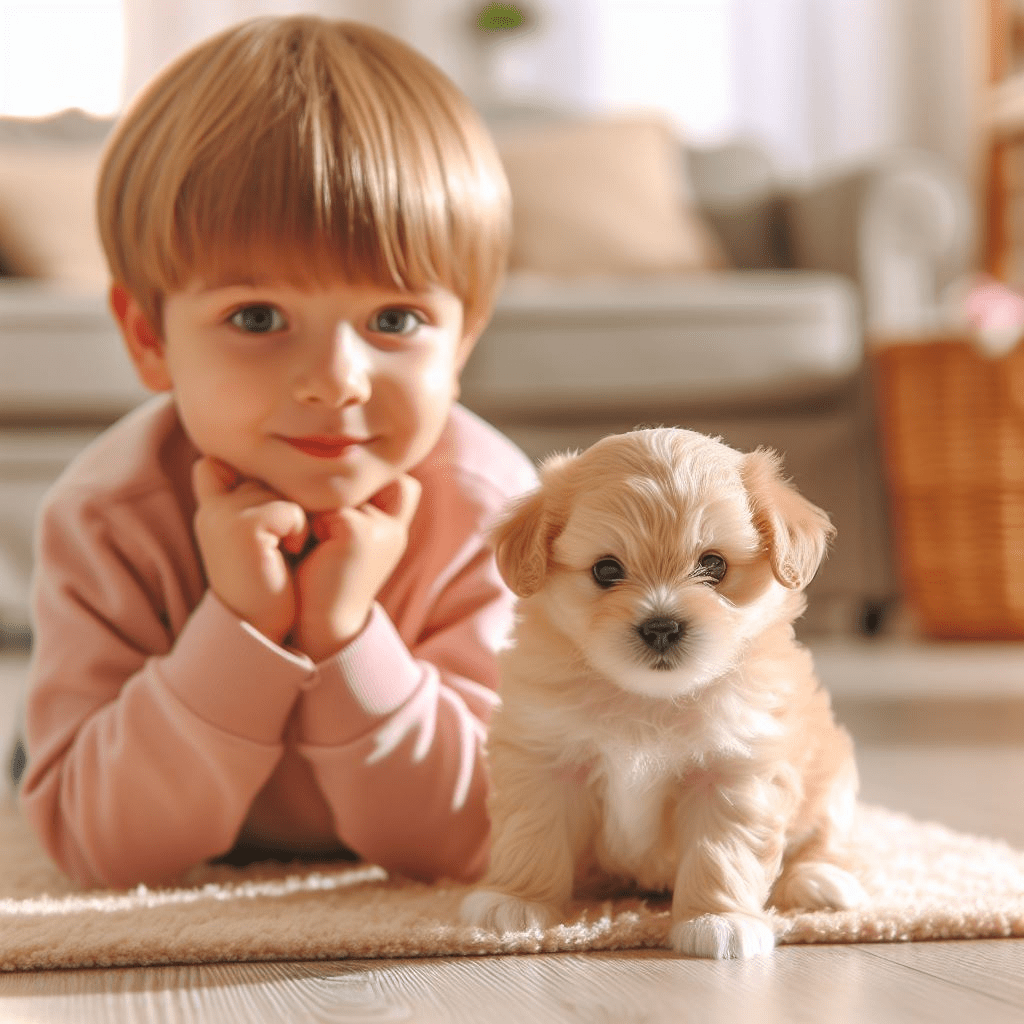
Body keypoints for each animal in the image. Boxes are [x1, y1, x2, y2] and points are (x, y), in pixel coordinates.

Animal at [460, 425, 868, 958]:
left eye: (713, 565)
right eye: (606, 570)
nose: (660, 626)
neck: (649, 697)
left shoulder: (735, 766)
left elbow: (722, 850)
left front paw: (718, 919)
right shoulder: (543, 754)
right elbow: (532, 831)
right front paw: (515, 900)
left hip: (834, 775)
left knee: (828, 836)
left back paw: (822, 882)